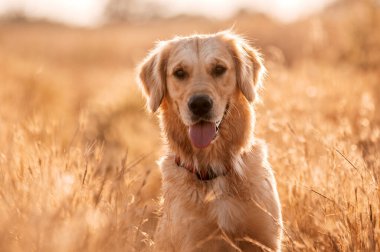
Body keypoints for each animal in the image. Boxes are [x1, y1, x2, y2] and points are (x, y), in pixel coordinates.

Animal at [137, 32, 282, 252]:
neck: (214, 170)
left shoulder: (265, 239)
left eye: (219, 69)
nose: (199, 104)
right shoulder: (195, 241)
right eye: (179, 73)